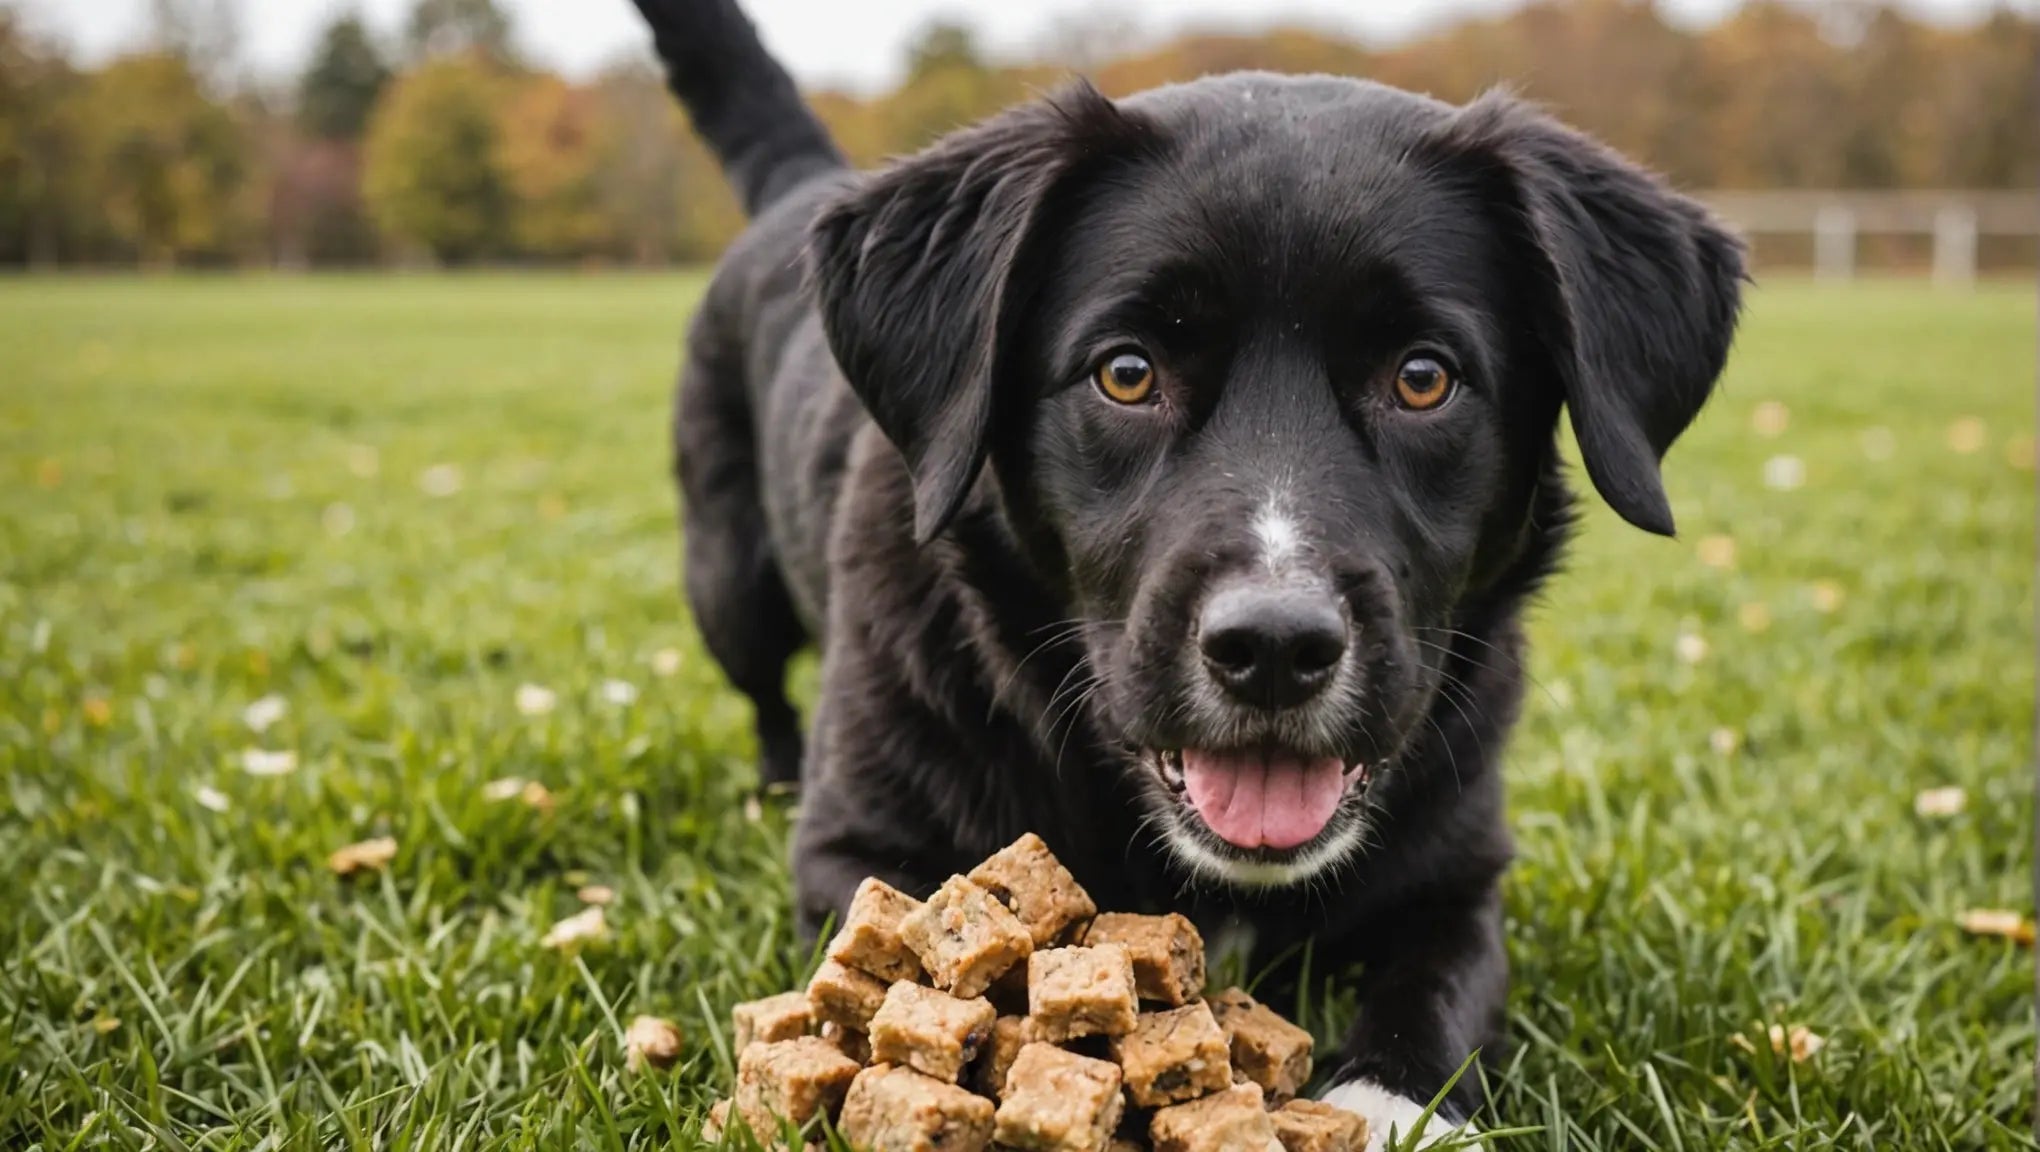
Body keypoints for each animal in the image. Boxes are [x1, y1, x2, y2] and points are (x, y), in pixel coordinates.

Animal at [632, 0, 1738, 1133]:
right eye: (1127, 373)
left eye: (1424, 378)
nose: (1275, 648)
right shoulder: (862, 857)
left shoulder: (1460, 884)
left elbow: (1435, 998)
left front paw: (1387, 1106)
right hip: (728, 586)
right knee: (765, 691)